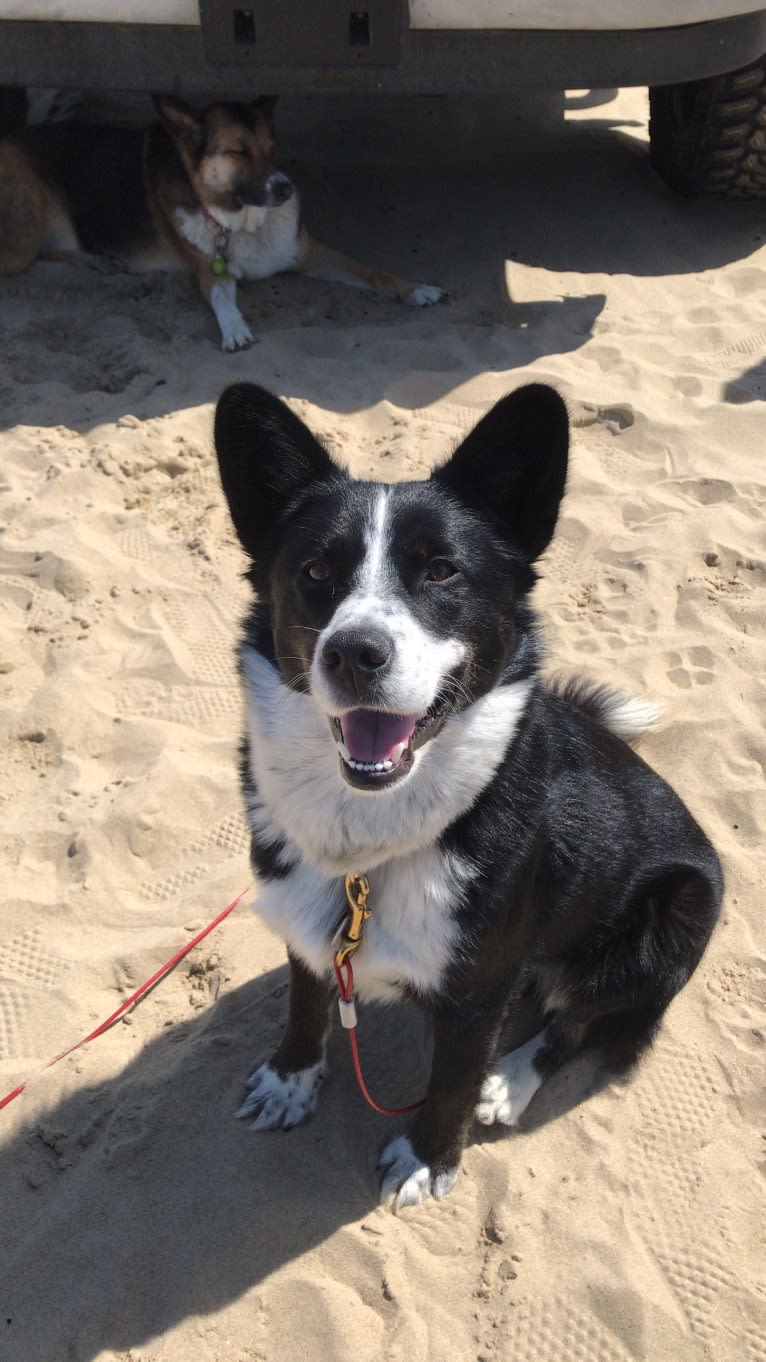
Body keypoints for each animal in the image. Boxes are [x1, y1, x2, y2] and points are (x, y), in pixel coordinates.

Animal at [0, 96, 444, 351]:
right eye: (238, 152)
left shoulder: (310, 252)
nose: (285, 188)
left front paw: (415, 288)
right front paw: (234, 329)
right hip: (24, 234)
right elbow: (222, 299)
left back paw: (100, 260)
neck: (244, 223)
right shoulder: (209, 270)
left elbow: (371, 271)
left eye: (272, 147)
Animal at [215, 384, 719, 1214]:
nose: (354, 653)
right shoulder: (308, 926)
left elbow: (449, 1083)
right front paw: (290, 1080)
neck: (369, 849)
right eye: (316, 569)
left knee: (578, 1019)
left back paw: (509, 1081)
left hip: (669, 917)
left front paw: (427, 1158)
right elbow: (307, 1002)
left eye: (442, 571)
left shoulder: (481, 993)